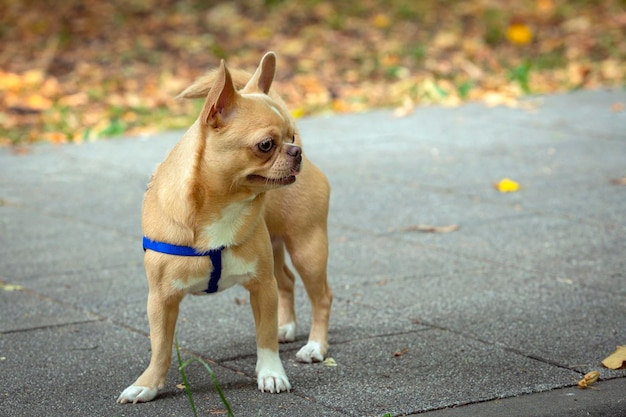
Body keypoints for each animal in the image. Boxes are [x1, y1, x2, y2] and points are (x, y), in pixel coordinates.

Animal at [117, 52, 332, 404]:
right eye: (266, 144)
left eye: (291, 138)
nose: (297, 150)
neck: (221, 206)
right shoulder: (161, 299)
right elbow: (160, 346)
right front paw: (147, 384)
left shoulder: (262, 287)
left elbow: (264, 338)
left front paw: (271, 374)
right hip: (277, 249)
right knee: (286, 281)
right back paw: (287, 327)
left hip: (307, 248)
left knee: (321, 296)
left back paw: (315, 346)